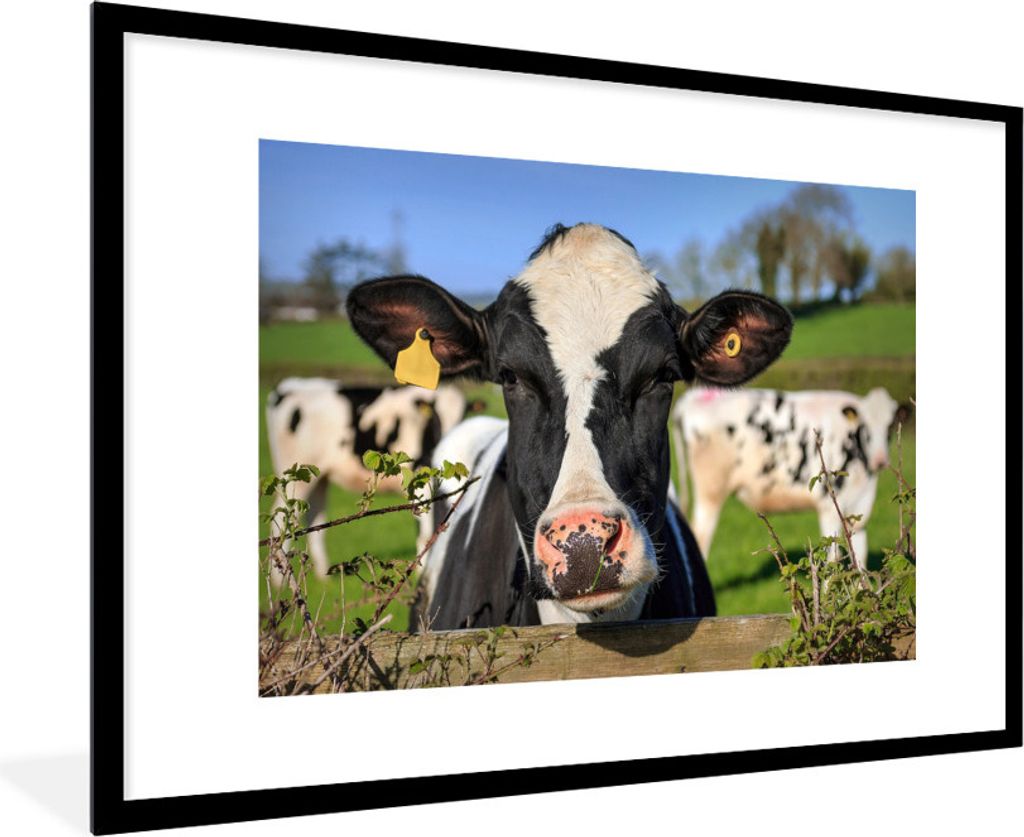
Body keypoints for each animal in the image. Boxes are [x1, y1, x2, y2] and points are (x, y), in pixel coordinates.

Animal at [266, 378, 473, 578]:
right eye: (435, 418)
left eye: (463, 418)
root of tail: (290, 385)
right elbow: (426, 532)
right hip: (294, 474)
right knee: (283, 518)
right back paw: (279, 580)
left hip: (318, 477)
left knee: (315, 517)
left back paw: (323, 578)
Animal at [672, 386, 908, 563]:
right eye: (864, 426)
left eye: (890, 426)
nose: (880, 460)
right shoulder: (829, 506)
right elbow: (833, 559)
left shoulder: (860, 506)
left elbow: (859, 557)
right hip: (711, 491)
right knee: (700, 538)